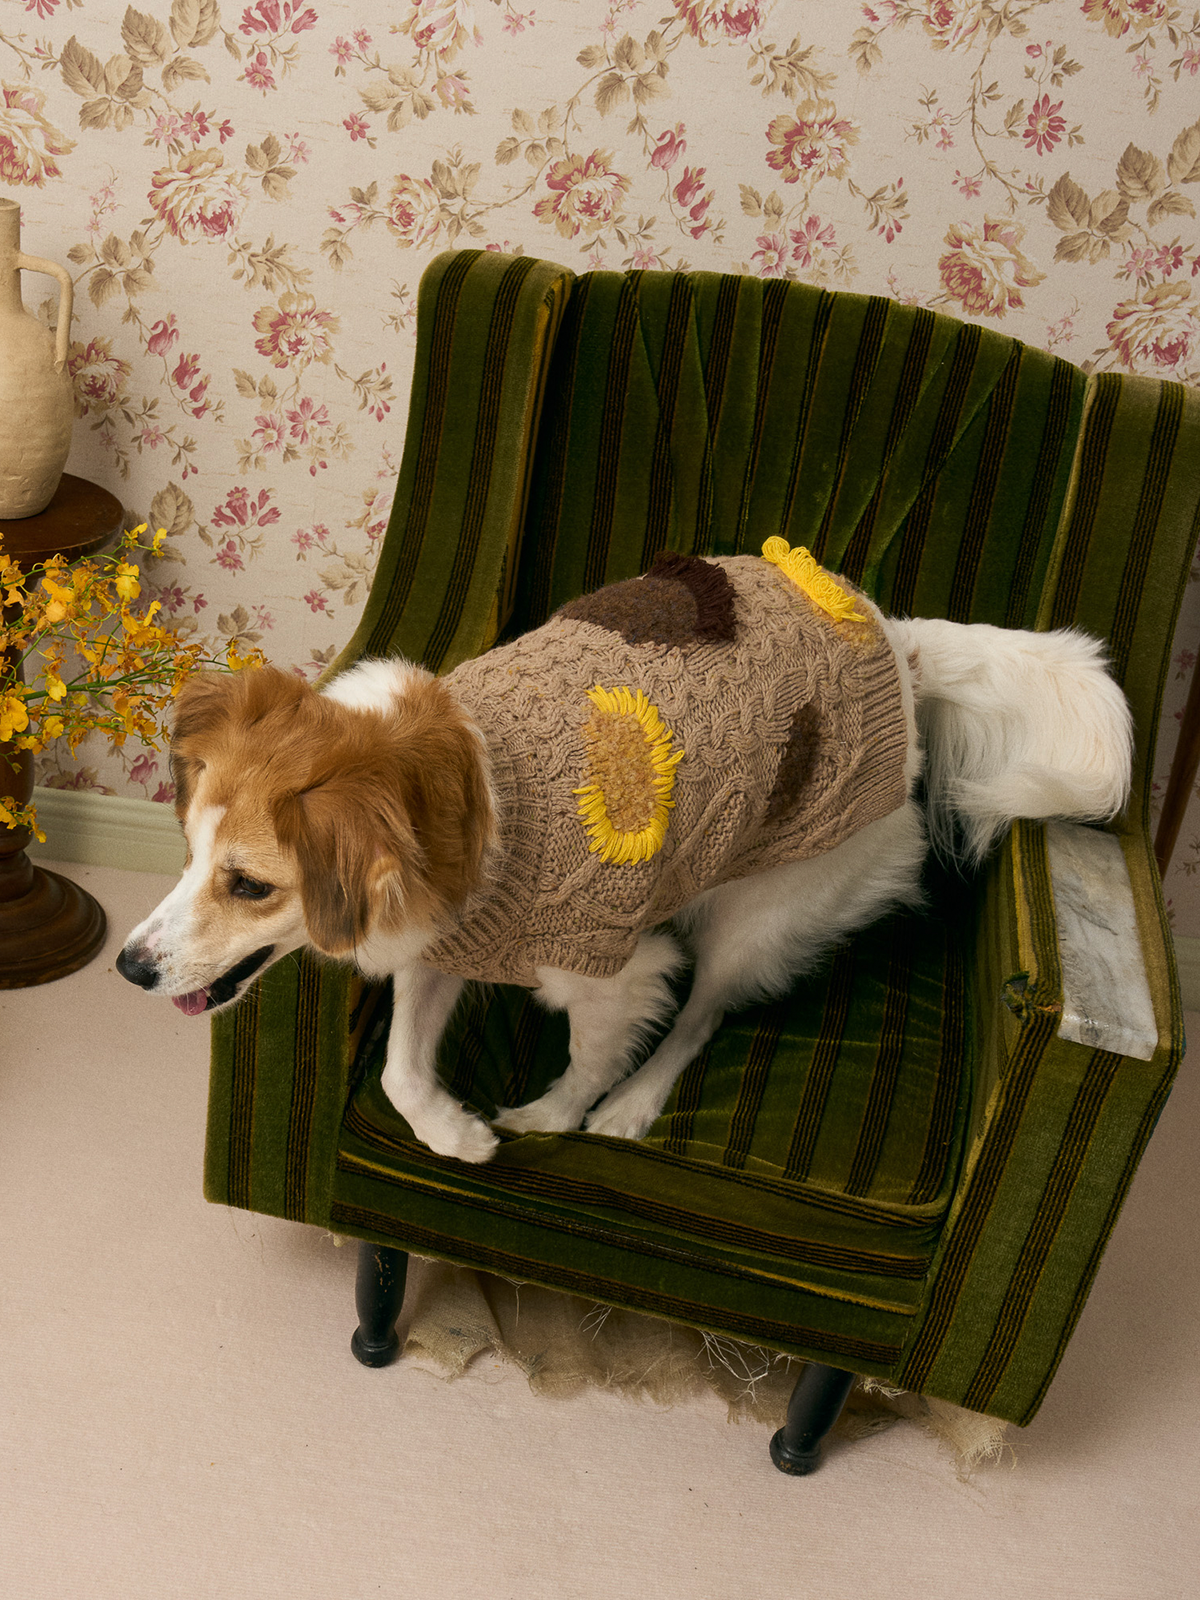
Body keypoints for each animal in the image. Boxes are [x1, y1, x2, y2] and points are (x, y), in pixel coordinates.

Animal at [117, 549, 1132, 1164]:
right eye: (188, 854)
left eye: (250, 884)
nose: (128, 967)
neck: (474, 790)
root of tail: (899, 644)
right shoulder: (446, 941)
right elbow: (401, 1070)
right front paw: (451, 1133)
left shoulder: (614, 965)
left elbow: (595, 1051)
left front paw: (552, 1118)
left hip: (760, 912)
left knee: (702, 1017)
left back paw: (636, 1106)